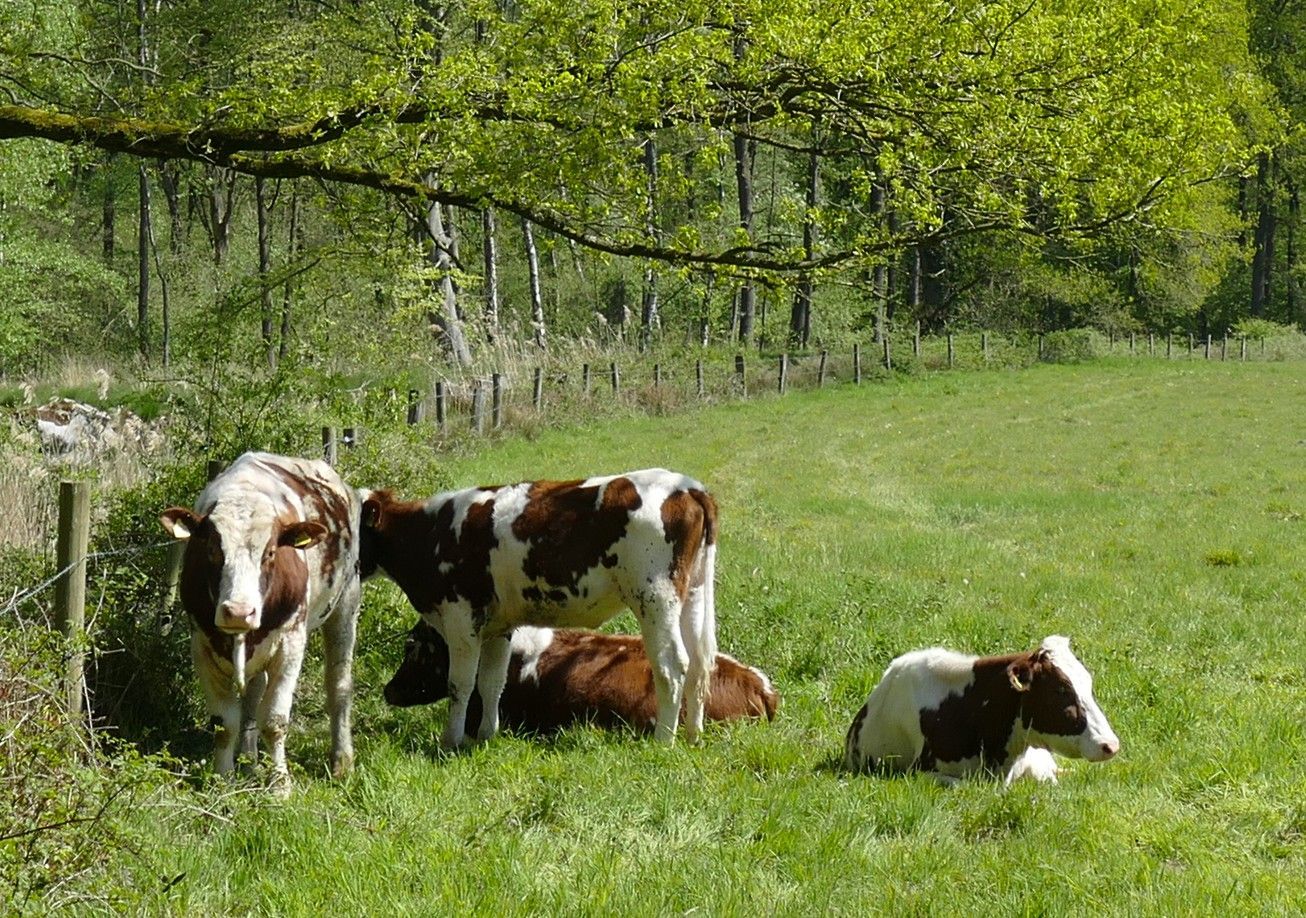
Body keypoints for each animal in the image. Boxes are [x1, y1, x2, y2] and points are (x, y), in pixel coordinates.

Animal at [160, 452, 362, 793]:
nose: (239, 612)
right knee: (253, 696)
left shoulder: (291, 644)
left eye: (270, 553)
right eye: (212, 549)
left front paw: (280, 784)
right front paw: (224, 780)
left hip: (346, 602)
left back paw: (341, 760)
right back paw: (249, 760)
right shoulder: (202, 646)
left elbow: (275, 721)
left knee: (339, 685)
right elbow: (225, 723)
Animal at [359, 468, 718, 749]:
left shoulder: (461, 620)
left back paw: (664, 740)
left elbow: (459, 684)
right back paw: (693, 735)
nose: (389, 692)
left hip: (656, 597)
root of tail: (688, 486)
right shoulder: (498, 627)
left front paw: (452, 741)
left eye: (412, 649)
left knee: (672, 666)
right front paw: (485, 736)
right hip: (693, 594)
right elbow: (491, 682)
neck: (430, 534)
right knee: (699, 665)